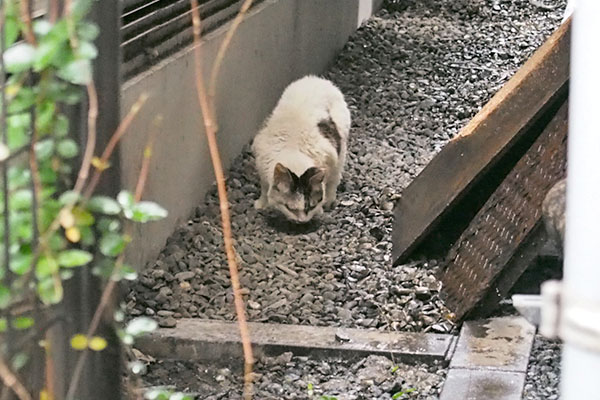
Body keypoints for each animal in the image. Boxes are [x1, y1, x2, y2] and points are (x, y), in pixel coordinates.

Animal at [250, 75, 352, 223]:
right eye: (289, 208)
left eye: (311, 206)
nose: (302, 221)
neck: (293, 150)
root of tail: (318, 79)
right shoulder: (261, 163)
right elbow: (264, 187)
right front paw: (262, 203)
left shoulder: (330, 157)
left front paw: (321, 208)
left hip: (341, 143)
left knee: (336, 175)